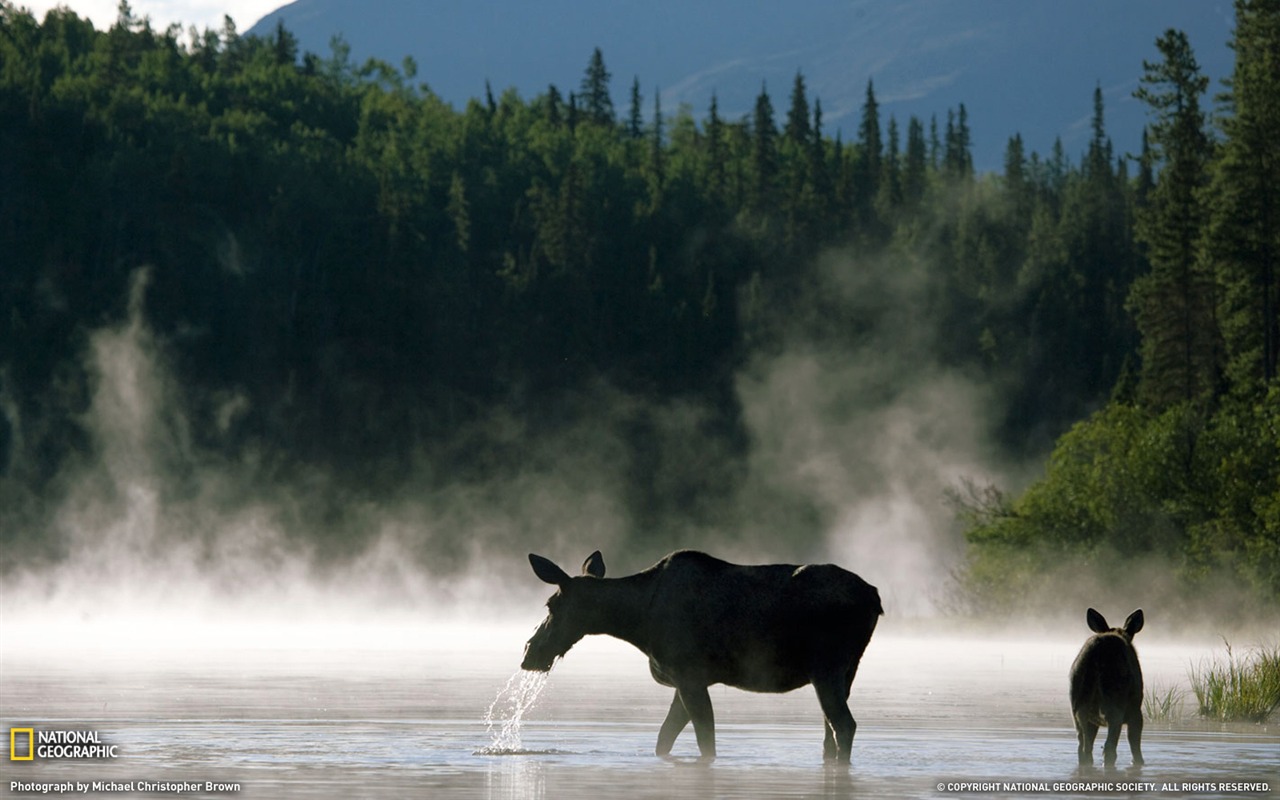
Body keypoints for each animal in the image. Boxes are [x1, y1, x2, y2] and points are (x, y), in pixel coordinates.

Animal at [519, 547, 880, 762]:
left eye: (550, 604)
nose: (529, 653)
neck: (637, 623)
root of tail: (875, 598)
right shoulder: (683, 681)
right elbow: (664, 739)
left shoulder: (690, 675)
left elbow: (706, 740)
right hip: (846, 671)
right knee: (830, 733)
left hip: (826, 667)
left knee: (844, 725)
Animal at [1064, 604, 1146, 768]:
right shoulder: (1136, 712)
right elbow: (1135, 744)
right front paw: (1139, 762)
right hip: (1115, 704)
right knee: (1109, 748)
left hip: (1077, 709)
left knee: (1083, 747)